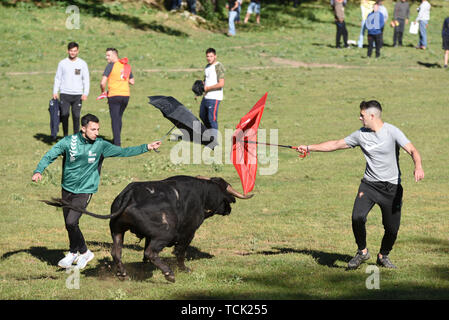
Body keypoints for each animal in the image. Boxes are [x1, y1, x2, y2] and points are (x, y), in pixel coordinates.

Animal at [42, 175, 252, 282]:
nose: (229, 208)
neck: (202, 193)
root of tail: (130, 193)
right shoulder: (188, 232)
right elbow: (180, 252)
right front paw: (184, 269)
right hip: (165, 233)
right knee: (151, 252)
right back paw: (169, 274)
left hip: (117, 229)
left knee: (117, 251)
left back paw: (123, 273)